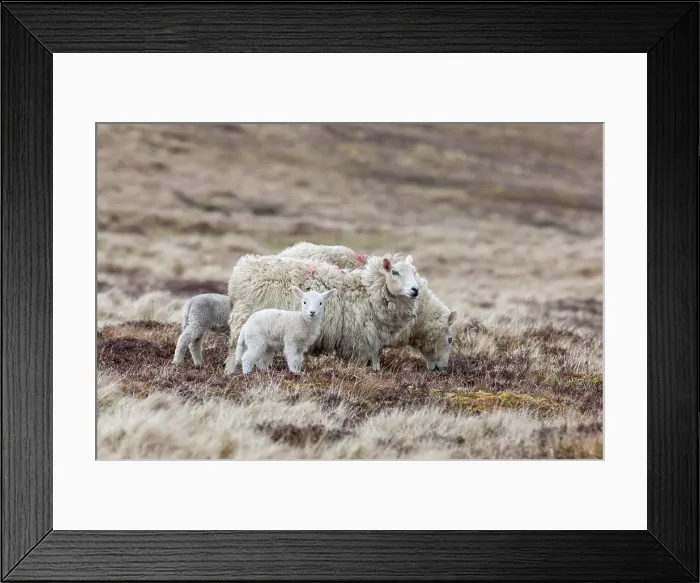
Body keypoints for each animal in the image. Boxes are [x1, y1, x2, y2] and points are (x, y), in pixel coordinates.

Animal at [224, 253, 420, 374]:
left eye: (414, 272)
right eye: (395, 272)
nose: (415, 290)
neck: (368, 291)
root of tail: (243, 269)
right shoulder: (358, 343)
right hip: (244, 325)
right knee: (235, 355)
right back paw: (232, 374)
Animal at [278, 242, 458, 371]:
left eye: (414, 272)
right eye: (450, 339)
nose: (443, 368)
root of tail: (286, 251)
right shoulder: (368, 335)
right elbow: (373, 355)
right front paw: (374, 370)